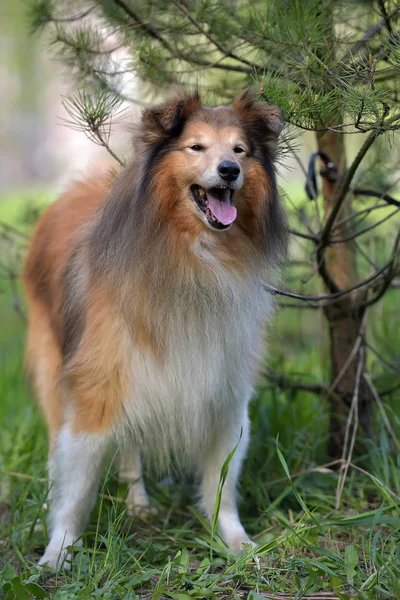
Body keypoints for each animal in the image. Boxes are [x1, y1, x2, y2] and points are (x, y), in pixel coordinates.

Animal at [22, 88, 288, 568]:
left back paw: (139, 505)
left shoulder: (223, 392)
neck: (195, 260)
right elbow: (78, 487)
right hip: (56, 371)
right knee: (57, 454)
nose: (230, 170)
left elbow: (221, 484)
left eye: (240, 150)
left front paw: (235, 541)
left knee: (129, 450)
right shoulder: (96, 390)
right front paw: (58, 551)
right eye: (196, 147)